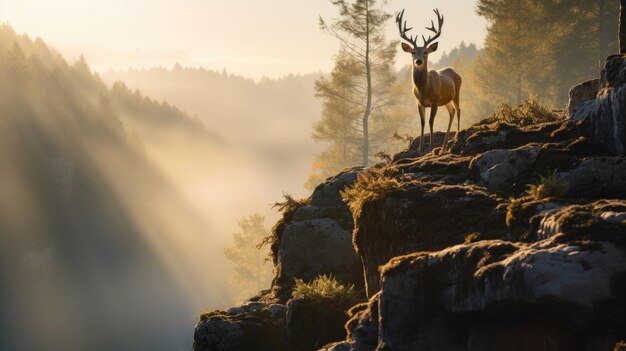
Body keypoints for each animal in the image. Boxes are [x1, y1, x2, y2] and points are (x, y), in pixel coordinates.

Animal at [398, 8, 460, 153]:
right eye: (413, 52)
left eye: (426, 52)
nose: (418, 61)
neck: (424, 89)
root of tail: (455, 72)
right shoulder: (419, 103)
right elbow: (422, 122)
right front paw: (420, 147)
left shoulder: (435, 101)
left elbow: (431, 121)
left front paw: (431, 145)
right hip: (446, 100)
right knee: (452, 111)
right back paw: (444, 143)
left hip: (457, 93)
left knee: (458, 110)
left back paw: (457, 135)